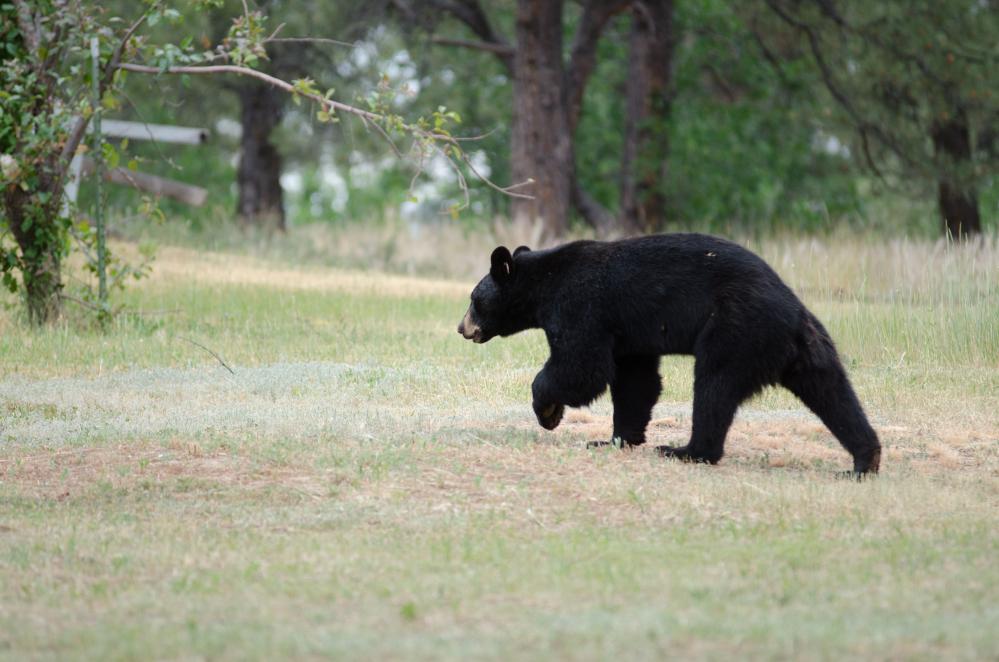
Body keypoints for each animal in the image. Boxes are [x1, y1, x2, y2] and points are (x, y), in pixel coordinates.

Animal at [457, 234, 881, 475]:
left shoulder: (582, 305)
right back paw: (865, 459)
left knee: (714, 387)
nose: (463, 328)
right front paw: (614, 439)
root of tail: (792, 313)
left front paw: (547, 410)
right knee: (833, 393)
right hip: (806, 348)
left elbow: (582, 365)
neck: (544, 283)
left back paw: (686, 450)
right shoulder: (628, 333)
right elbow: (635, 381)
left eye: (474, 299)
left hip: (735, 330)